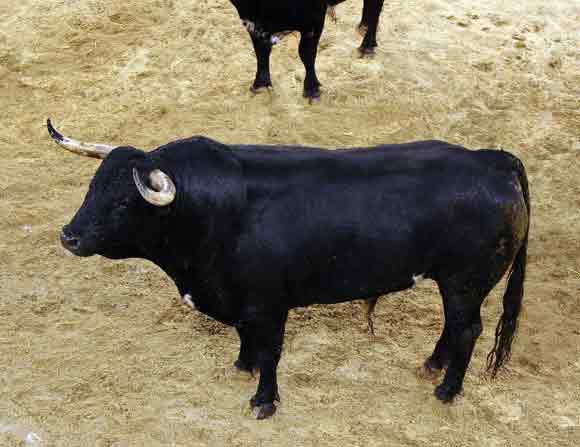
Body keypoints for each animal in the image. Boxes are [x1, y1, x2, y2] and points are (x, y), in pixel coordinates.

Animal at [49, 119, 532, 420]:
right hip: (455, 282)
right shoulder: (241, 300)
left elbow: (271, 351)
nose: (68, 236)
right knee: (455, 326)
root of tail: (492, 159)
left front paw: (264, 400)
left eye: (123, 202)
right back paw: (432, 365)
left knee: (468, 329)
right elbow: (246, 338)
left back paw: (446, 390)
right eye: (91, 187)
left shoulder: (269, 304)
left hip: (465, 281)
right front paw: (242, 366)